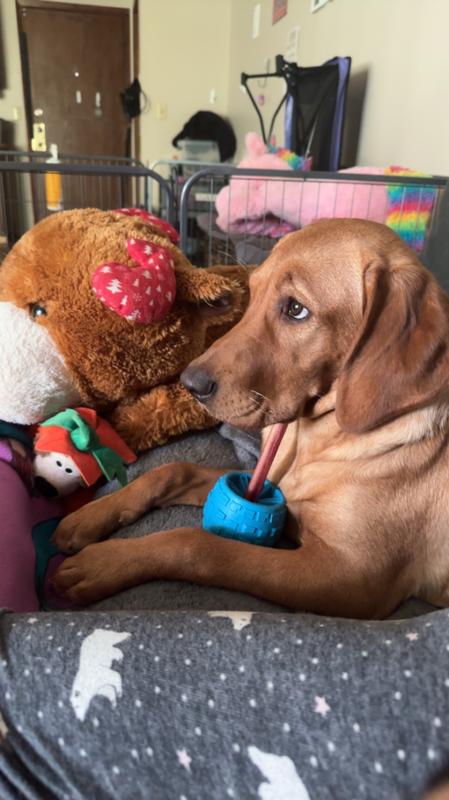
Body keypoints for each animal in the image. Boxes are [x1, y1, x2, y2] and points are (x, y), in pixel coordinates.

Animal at [53, 219, 449, 620]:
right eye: (253, 291)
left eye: (296, 309)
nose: (189, 384)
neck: (312, 439)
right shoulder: (267, 484)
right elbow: (173, 470)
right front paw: (91, 516)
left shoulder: (351, 578)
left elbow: (197, 545)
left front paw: (104, 563)